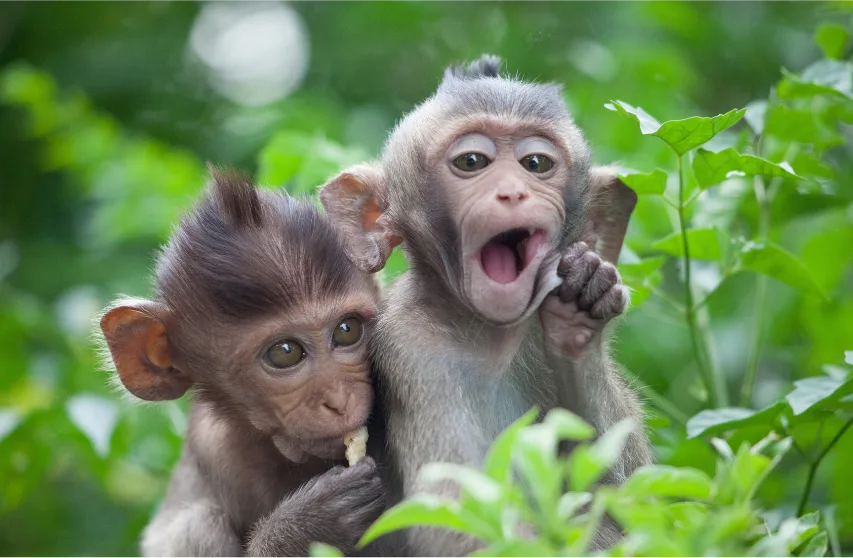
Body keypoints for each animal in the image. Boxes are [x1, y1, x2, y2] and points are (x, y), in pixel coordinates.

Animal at [320, 55, 653, 557]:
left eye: (536, 163)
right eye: (472, 162)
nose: (513, 191)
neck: (491, 335)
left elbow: (642, 500)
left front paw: (580, 313)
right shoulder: (413, 349)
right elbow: (456, 520)